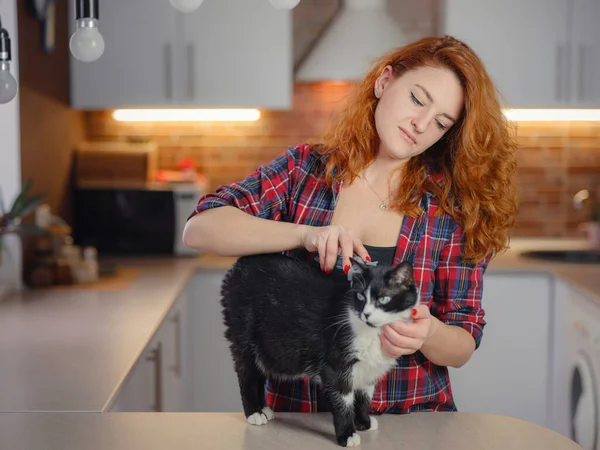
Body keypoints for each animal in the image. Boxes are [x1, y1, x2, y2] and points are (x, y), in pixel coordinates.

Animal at [219, 253, 418, 446]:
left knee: (260, 370)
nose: (366, 314)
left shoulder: (369, 369)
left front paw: (364, 422)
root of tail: (239, 265)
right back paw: (254, 412)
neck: (372, 332)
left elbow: (364, 396)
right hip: (244, 330)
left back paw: (263, 409)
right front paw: (347, 434)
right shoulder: (335, 365)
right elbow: (343, 400)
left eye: (384, 299)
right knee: (247, 372)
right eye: (361, 297)